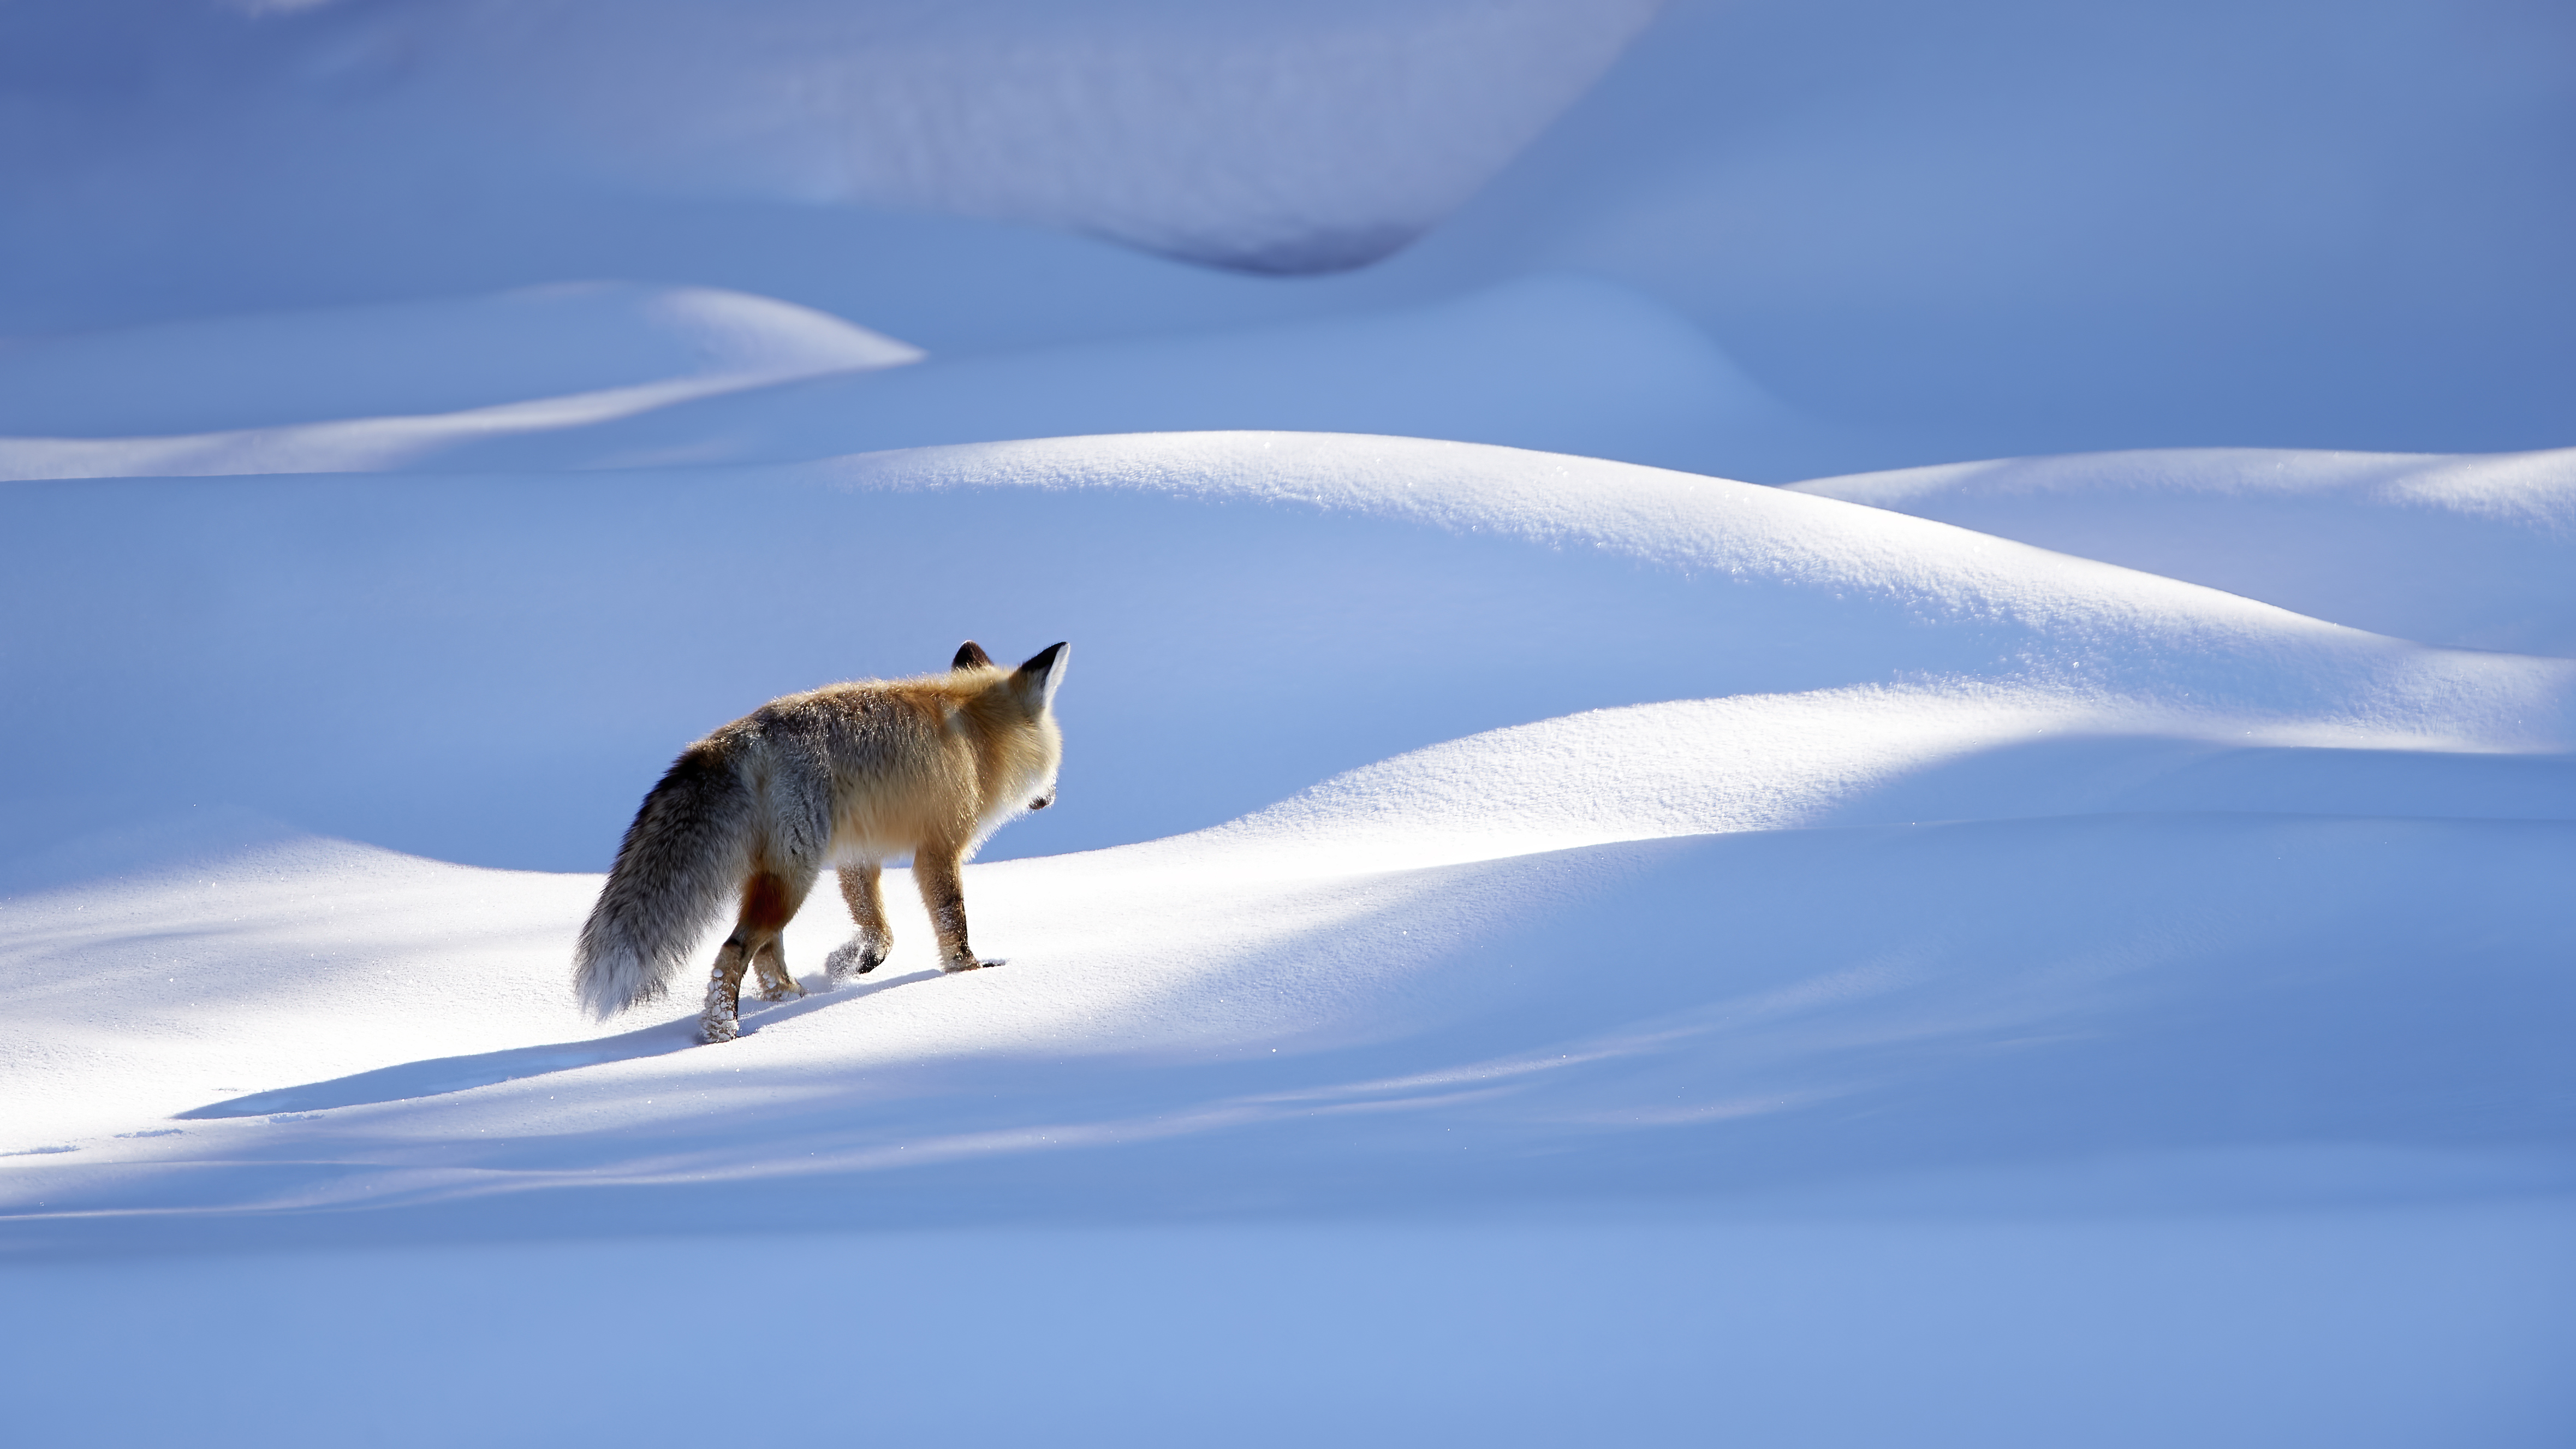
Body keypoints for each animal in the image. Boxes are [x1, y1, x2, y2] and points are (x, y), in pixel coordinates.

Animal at [572, 639, 1068, 1043]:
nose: (1050, 799)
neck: (976, 740)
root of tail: (735, 737)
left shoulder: (858, 853)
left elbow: (878, 929)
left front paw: (853, 962)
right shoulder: (939, 847)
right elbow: (952, 920)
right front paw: (967, 971)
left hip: (774, 875)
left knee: (765, 953)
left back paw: (792, 999)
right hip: (795, 876)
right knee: (734, 951)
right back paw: (722, 1032)